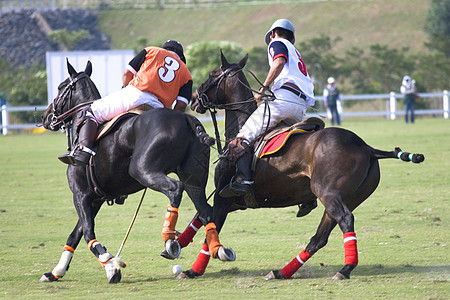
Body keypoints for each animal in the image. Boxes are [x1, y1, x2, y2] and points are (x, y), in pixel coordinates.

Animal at [38, 59, 227, 282]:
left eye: (60, 87)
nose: (45, 116)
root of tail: (188, 119)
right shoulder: (95, 198)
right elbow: (75, 234)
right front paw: (55, 272)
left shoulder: (81, 194)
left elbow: (87, 232)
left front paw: (110, 265)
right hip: (194, 178)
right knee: (205, 209)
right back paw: (218, 248)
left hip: (142, 170)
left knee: (175, 189)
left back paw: (169, 239)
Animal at [178, 52, 424, 282]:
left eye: (212, 74)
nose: (194, 98)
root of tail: (366, 147)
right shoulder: (235, 202)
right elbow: (200, 217)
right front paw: (177, 243)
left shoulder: (224, 198)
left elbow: (210, 227)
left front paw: (192, 270)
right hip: (349, 197)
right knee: (319, 237)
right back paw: (282, 272)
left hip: (328, 193)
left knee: (345, 221)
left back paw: (345, 269)